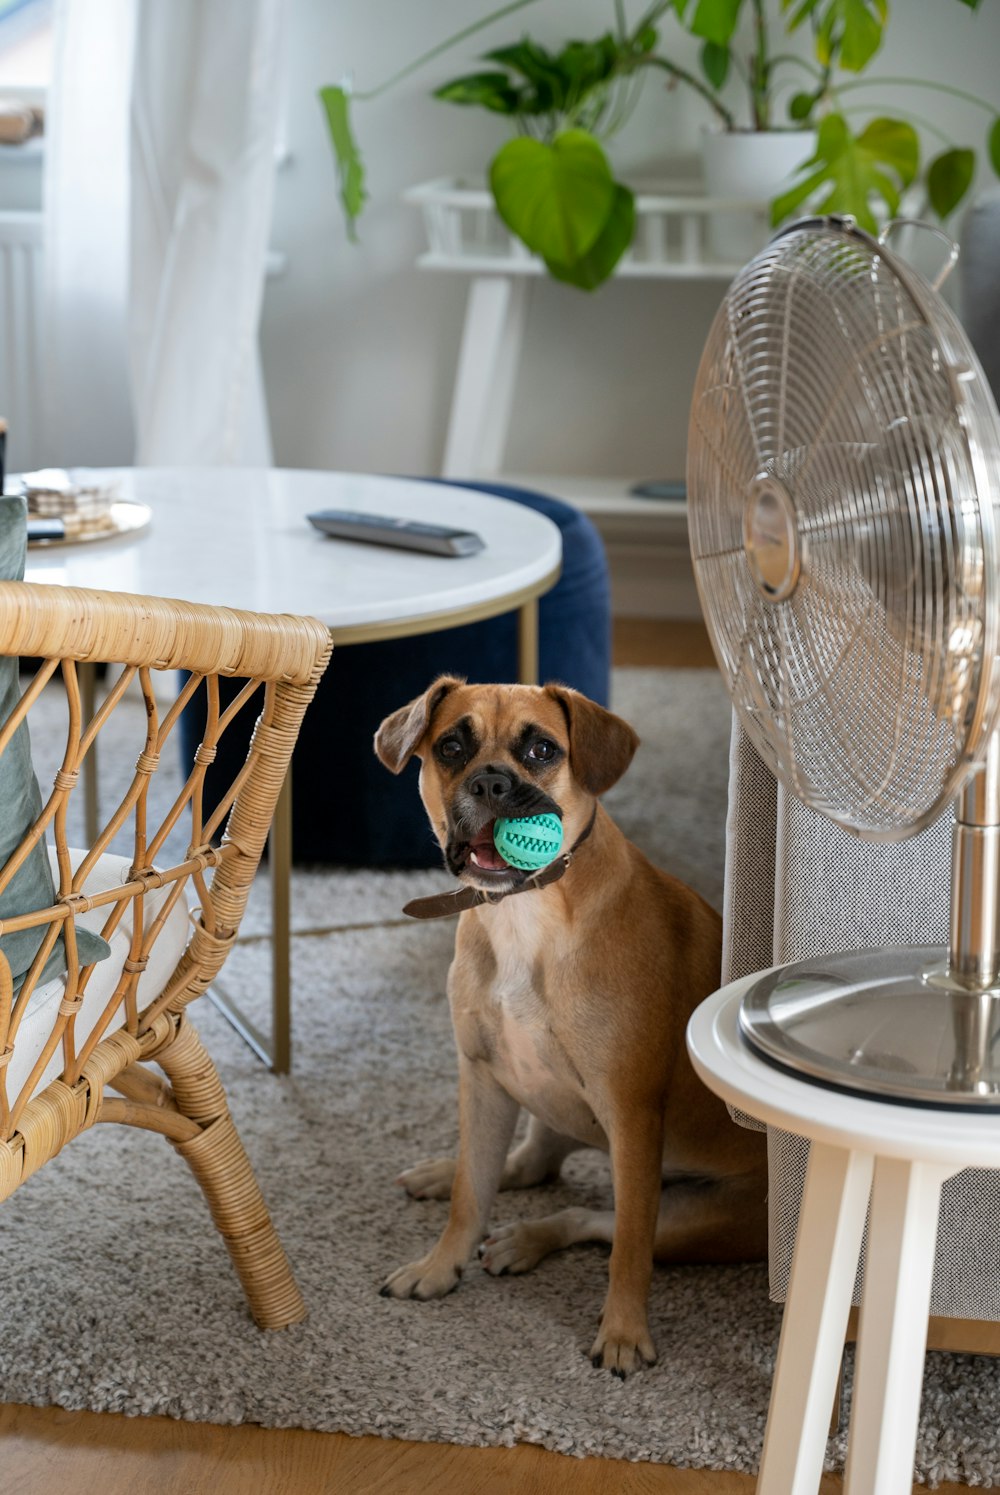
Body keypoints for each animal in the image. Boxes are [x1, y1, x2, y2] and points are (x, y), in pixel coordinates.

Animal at [373, 678, 765, 1375]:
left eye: (541, 749)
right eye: (451, 747)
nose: (491, 782)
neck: (525, 915)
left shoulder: (632, 1116)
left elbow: (627, 1253)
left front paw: (623, 1332)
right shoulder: (482, 1078)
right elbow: (470, 1198)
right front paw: (440, 1266)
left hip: (691, 1219)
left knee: (594, 1220)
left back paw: (527, 1239)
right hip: (539, 1100)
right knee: (527, 1168)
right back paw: (457, 1183)